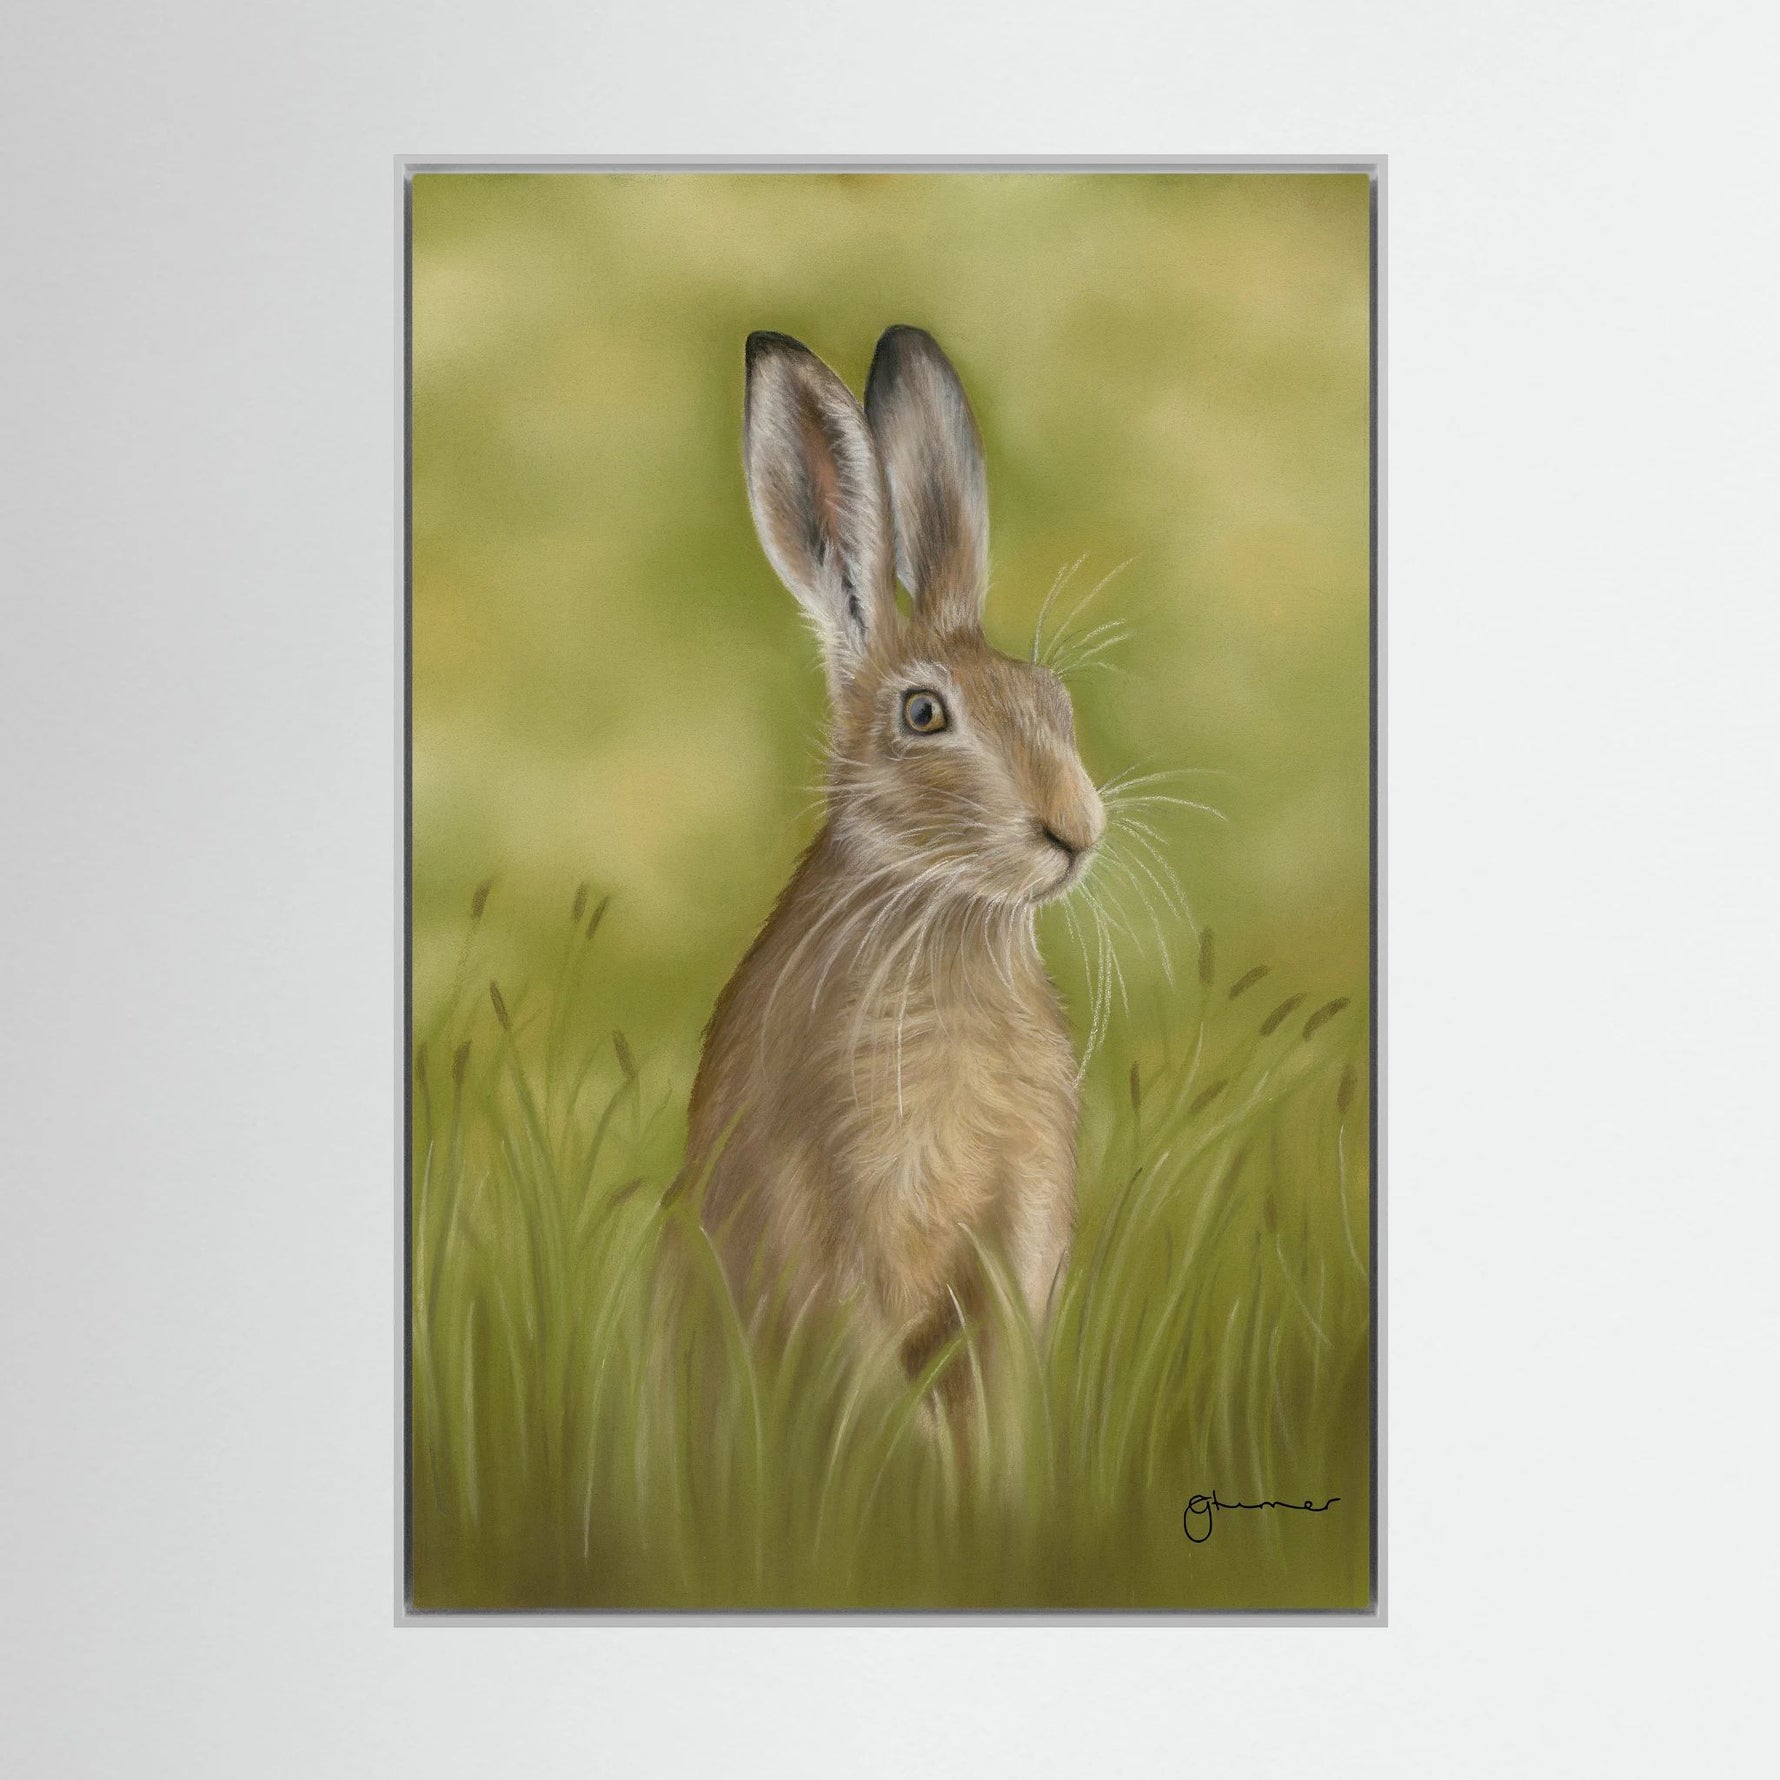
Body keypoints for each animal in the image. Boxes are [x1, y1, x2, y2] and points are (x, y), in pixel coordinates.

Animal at [680, 325, 1105, 1423]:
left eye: (1053, 699)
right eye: (922, 715)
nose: (1075, 829)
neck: (947, 919)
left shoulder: (1020, 1235)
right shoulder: (836, 1226)